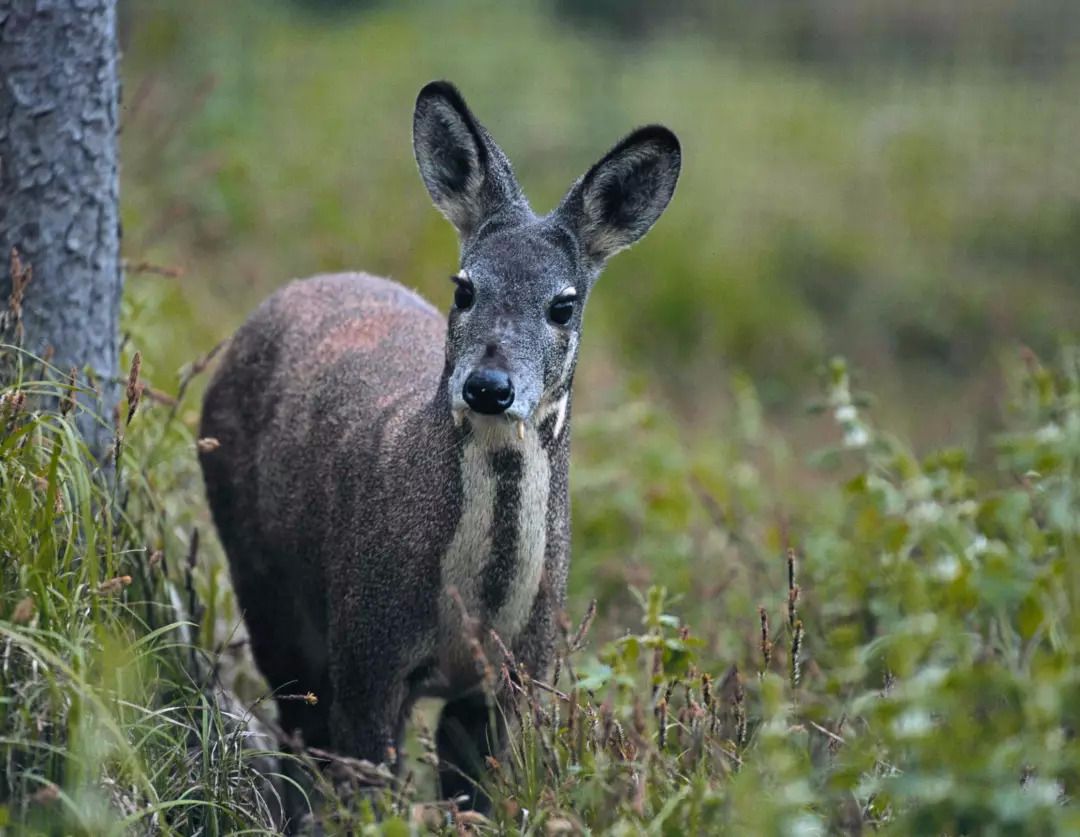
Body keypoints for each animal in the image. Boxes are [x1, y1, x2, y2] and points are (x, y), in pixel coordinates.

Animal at [198, 80, 678, 812]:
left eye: (563, 305)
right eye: (465, 287)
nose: (488, 386)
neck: (474, 611)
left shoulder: (514, 677)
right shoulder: (368, 647)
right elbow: (364, 785)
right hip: (262, 578)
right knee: (297, 726)